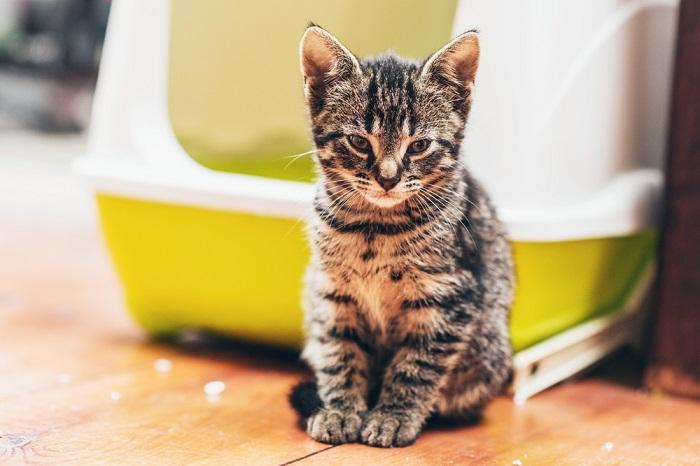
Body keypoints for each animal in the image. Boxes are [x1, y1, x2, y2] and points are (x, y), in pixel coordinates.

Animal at [290, 25, 516, 448]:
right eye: (360, 142)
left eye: (420, 145)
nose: (388, 178)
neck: (373, 228)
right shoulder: (332, 294)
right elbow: (340, 354)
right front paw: (340, 410)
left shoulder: (448, 299)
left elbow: (416, 366)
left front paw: (392, 416)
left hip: (488, 353)